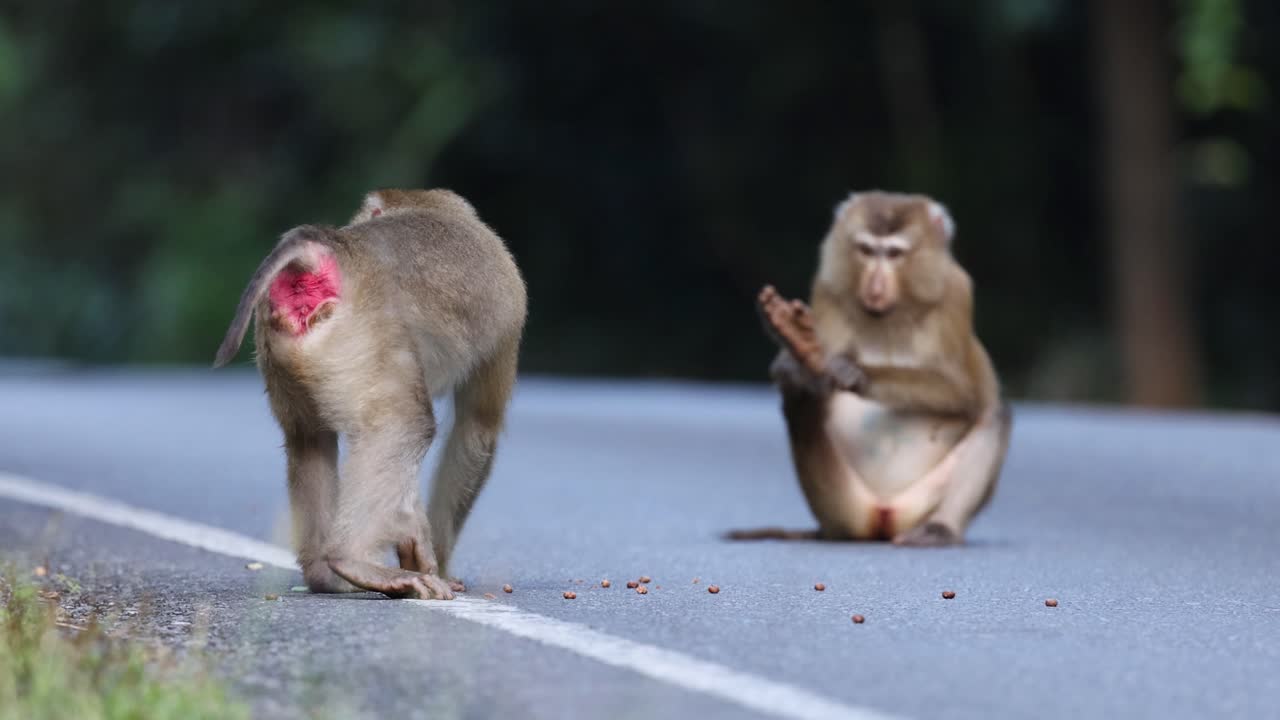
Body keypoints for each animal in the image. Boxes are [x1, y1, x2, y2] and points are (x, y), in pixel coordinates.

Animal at [214, 188, 526, 599]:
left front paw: (412, 531)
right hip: (362, 339)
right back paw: (351, 559)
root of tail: (332, 246)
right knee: (406, 424)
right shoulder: (510, 317)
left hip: (281, 346)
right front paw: (437, 562)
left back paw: (325, 574)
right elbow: (477, 429)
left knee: (309, 438)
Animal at [738, 190, 1011, 546]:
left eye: (894, 253)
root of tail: (882, 518)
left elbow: (960, 391)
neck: (890, 315)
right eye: (866, 250)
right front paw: (803, 365)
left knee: (995, 415)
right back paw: (804, 373)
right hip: (844, 509)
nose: (876, 286)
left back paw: (941, 528)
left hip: (918, 506)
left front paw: (854, 371)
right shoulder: (827, 289)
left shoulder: (955, 292)